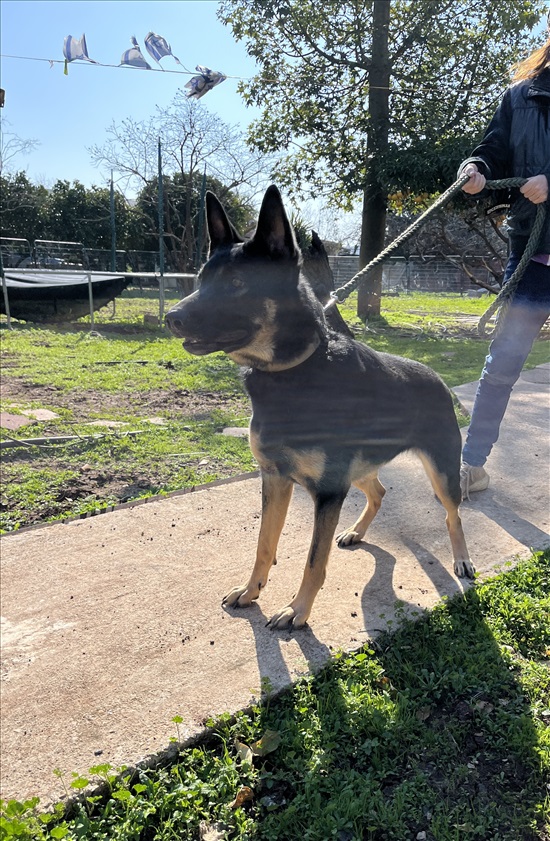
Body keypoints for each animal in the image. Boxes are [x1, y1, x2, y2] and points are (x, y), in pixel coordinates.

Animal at [166, 185, 476, 632]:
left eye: (238, 282)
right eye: (200, 280)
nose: (171, 318)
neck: (293, 372)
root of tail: (434, 376)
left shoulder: (328, 491)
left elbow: (315, 560)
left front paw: (298, 609)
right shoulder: (276, 479)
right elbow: (264, 544)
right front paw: (251, 590)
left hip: (440, 472)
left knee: (452, 514)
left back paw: (462, 558)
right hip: (359, 470)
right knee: (379, 491)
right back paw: (357, 532)